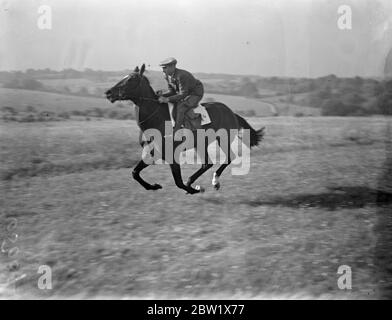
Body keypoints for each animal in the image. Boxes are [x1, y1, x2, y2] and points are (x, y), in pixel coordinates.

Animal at [105, 64, 264, 195]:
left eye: (131, 79)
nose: (108, 92)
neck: (156, 120)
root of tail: (231, 112)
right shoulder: (153, 152)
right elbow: (134, 172)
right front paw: (154, 186)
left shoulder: (171, 155)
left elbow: (178, 182)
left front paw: (195, 189)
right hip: (201, 143)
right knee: (207, 163)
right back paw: (193, 181)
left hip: (223, 139)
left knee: (229, 158)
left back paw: (213, 182)